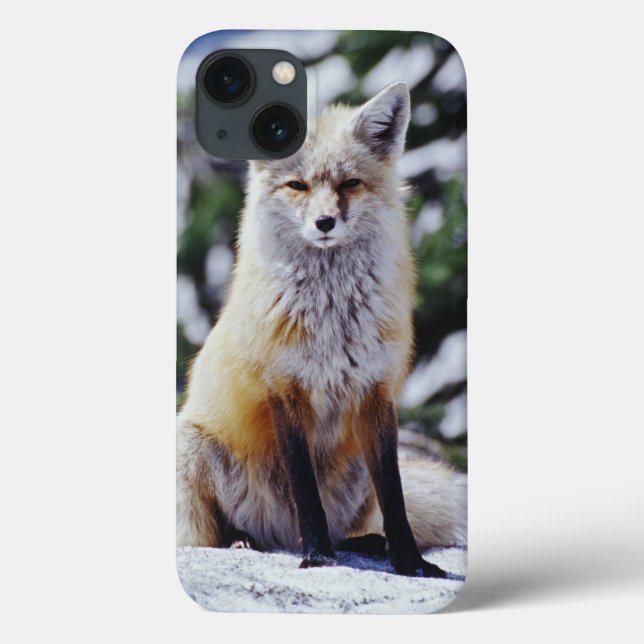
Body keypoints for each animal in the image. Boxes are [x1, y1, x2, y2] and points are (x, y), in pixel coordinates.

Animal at [176, 81, 466, 577]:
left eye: (350, 183)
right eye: (298, 185)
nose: (325, 222)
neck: (334, 318)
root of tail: (277, 535)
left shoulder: (376, 391)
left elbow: (395, 497)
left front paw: (410, 562)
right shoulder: (283, 389)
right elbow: (304, 490)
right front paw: (316, 558)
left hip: (354, 474)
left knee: (354, 523)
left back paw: (368, 542)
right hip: (191, 447)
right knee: (213, 534)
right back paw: (243, 540)